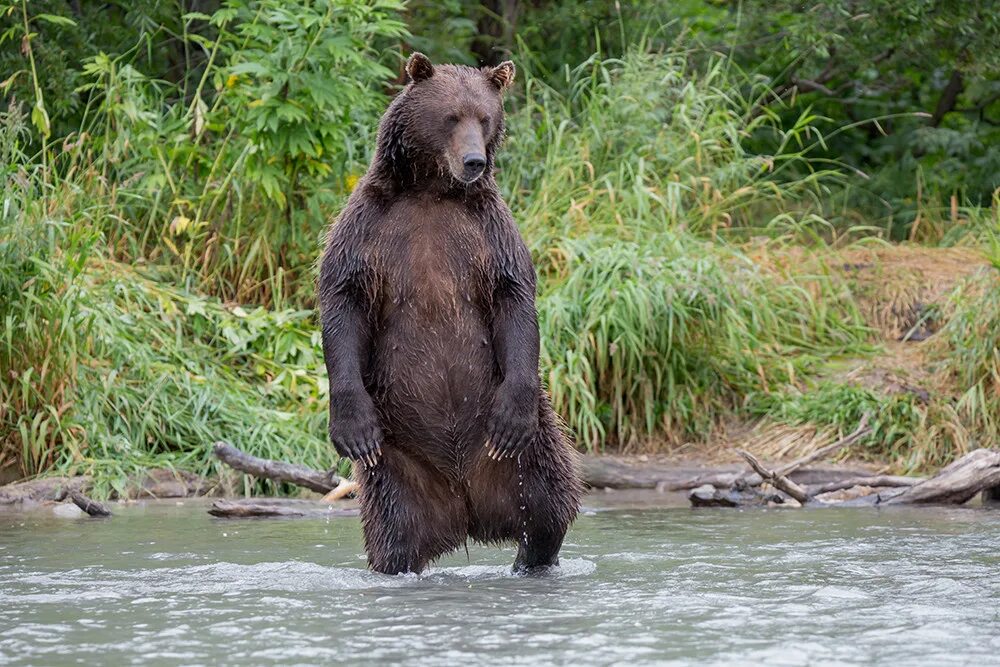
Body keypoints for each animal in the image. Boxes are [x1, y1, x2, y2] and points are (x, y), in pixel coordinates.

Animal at [320, 53, 584, 576]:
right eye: (450, 117)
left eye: (485, 118)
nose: (474, 161)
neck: (431, 191)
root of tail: (465, 510)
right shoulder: (368, 227)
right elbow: (343, 298)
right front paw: (352, 428)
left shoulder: (488, 231)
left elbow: (512, 296)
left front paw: (511, 417)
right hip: (398, 464)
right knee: (394, 536)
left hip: (525, 453)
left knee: (548, 505)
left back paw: (530, 558)